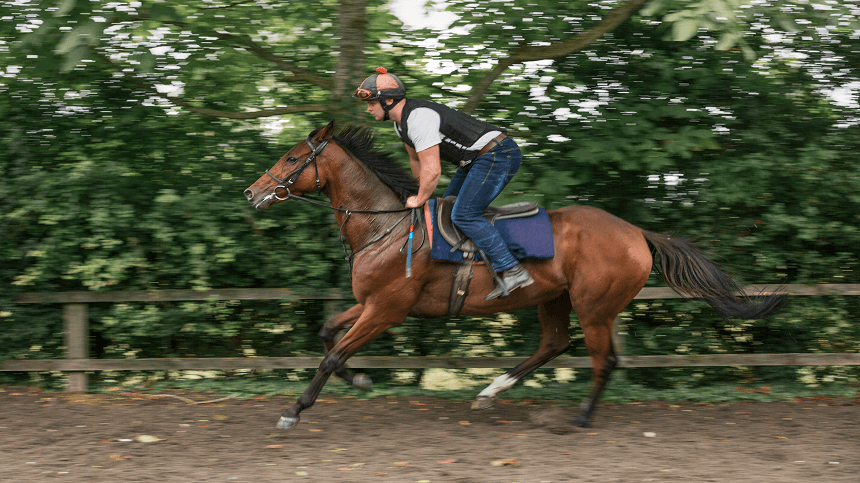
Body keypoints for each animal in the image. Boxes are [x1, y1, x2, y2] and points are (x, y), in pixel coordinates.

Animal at [242, 121, 788, 432]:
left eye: (293, 158)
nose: (251, 193)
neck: (388, 226)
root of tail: (637, 232)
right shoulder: (372, 304)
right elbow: (327, 333)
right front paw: (359, 379)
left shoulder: (387, 310)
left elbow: (332, 353)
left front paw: (295, 409)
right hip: (555, 298)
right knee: (553, 344)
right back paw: (490, 392)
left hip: (595, 307)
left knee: (603, 360)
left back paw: (580, 417)